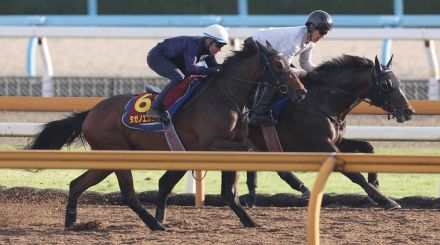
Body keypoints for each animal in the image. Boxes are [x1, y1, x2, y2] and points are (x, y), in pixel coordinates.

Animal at [27, 41, 306, 231]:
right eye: (279, 64)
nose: (301, 91)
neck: (224, 97)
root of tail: (90, 113)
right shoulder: (211, 146)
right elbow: (244, 162)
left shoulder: (225, 145)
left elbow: (230, 190)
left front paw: (250, 220)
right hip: (118, 155)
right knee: (128, 195)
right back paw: (155, 224)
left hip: (105, 160)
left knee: (76, 184)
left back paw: (71, 222)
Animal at [248, 54, 416, 210]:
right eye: (386, 84)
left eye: (399, 83)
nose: (409, 111)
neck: (323, 101)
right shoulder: (322, 143)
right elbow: (354, 173)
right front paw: (383, 199)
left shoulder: (336, 140)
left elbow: (369, 147)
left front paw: (374, 183)